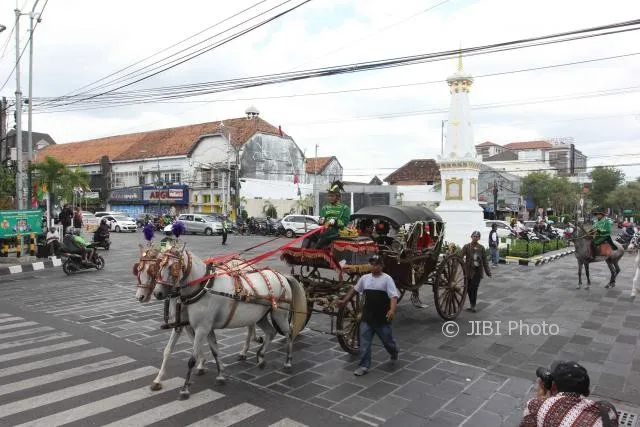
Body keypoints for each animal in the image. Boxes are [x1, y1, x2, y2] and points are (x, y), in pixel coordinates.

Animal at [132, 246, 262, 392]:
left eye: (153, 269)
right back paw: (248, 346)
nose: (140, 297)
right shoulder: (184, 324)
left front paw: (203, 365)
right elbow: (172, 349)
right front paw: (159, 379)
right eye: (138, 269)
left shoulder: (196, 324)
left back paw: (246, 349)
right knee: (251, 323)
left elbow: (197, 344)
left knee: (251, 324)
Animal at [152, 244, 308, 402]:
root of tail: (283, 276)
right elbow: (178, 351)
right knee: (270, 332)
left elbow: (192, 359)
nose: (157, 293)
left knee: (289, 332)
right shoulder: (192, 326)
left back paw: (288, 361)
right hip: (260, 316)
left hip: (280, 314)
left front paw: (185, 389)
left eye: (173, 267)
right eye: (159, 265)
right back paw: (261, 357)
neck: (202, 287)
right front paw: (158, 380)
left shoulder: (202, 328)